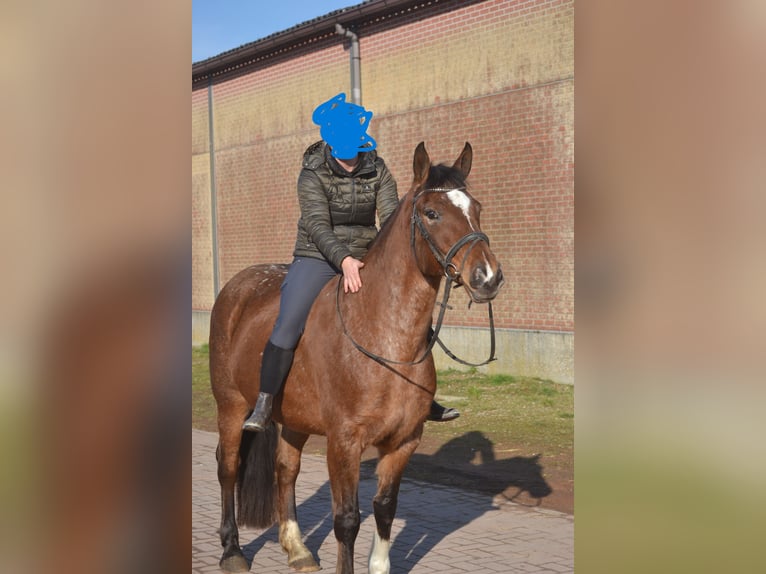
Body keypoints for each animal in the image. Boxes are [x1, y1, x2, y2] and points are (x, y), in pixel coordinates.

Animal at [212, 141, 504, 574]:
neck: (384, 338)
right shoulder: (344, 443)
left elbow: (384, 507)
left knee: (286, 469)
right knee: (228, 467)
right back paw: (232, 550)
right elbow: (347, 519)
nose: (487, 277)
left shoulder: (404, 441)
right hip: (231, 407)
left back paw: (298, 549)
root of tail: (237, 286)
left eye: (477, 208)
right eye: (431, 213)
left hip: (294, 418)